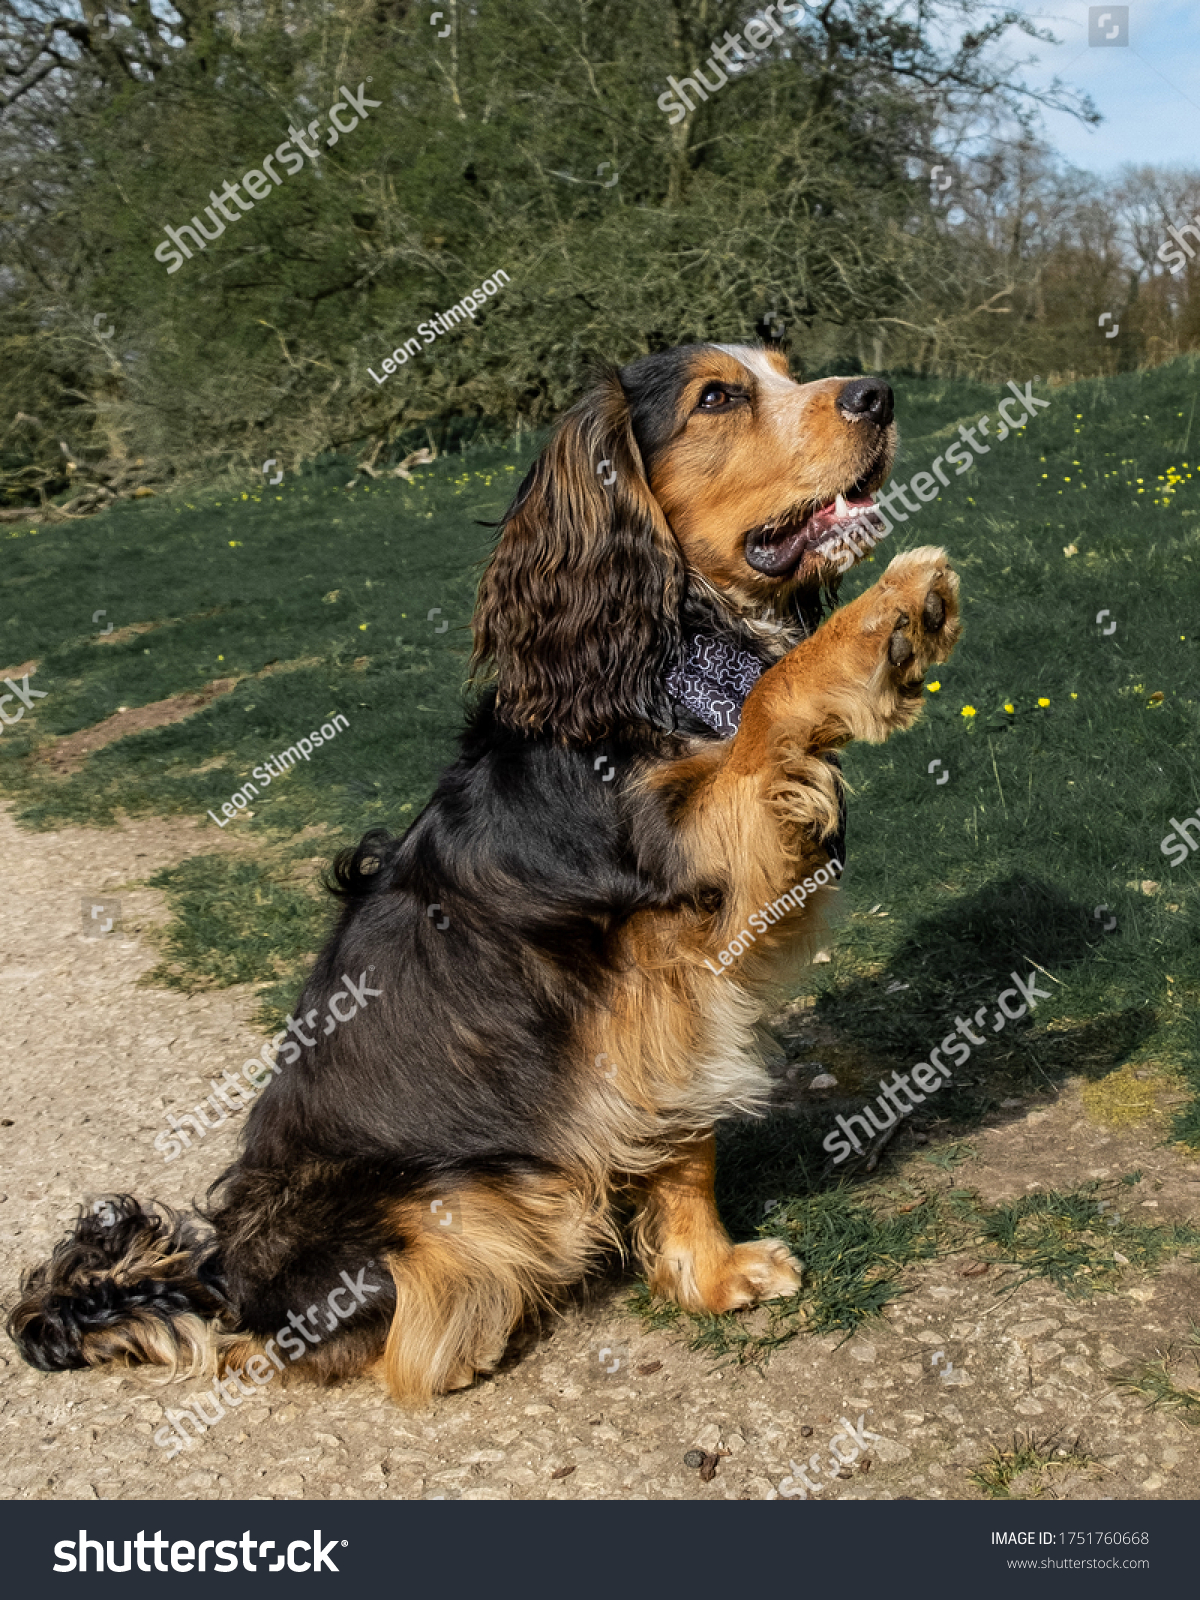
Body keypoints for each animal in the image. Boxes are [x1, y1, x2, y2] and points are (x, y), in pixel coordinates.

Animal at [7, 340, 960, 1401]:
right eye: (718, 396)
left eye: (787, 368)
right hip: (474, 1191)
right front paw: (886, 619)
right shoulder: (689, 847)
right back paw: (458, 1337)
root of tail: (222, 1271)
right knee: (315, 1339)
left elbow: (684, 1141)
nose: (879, 393)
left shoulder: (666, 982)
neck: (654, 669)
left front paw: (709, 1274)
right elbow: (768, 702)